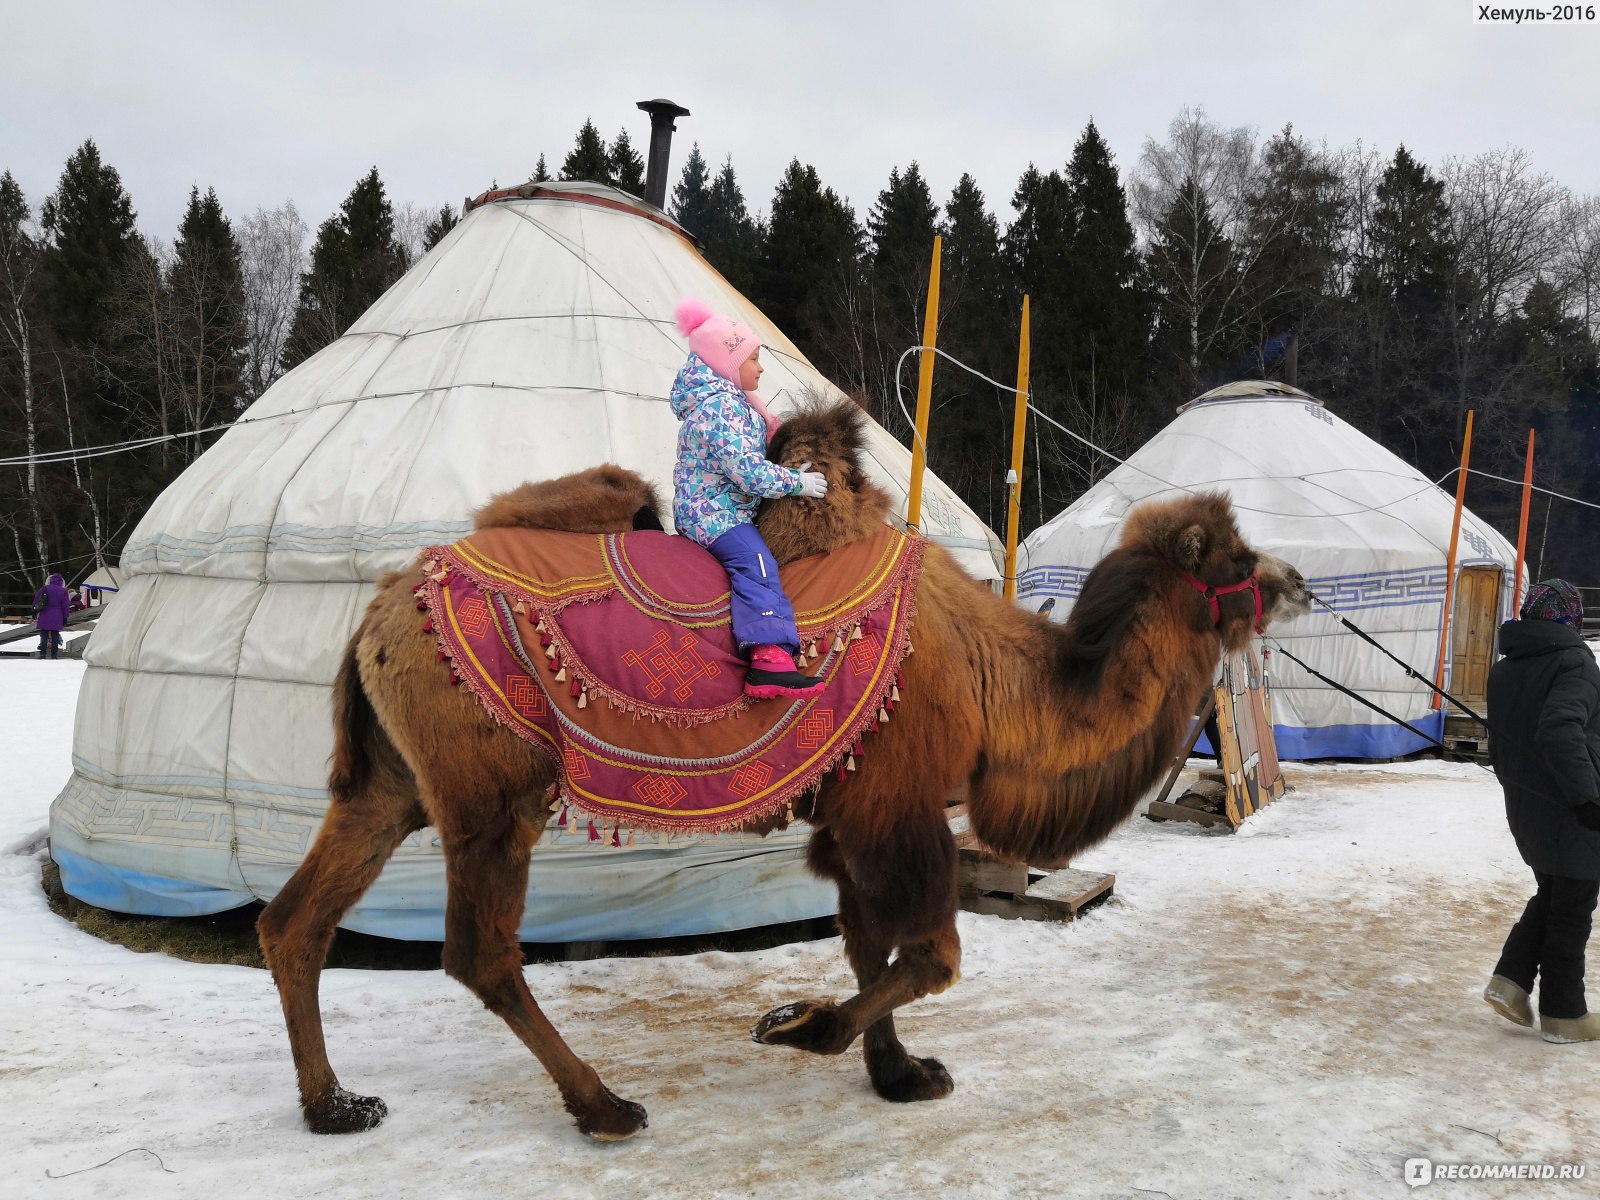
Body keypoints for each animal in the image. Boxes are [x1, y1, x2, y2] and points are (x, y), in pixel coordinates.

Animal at [259, 404, 1312, 1145]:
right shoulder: (899, 805)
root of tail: (382, 607)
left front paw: (898, 1075)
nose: (1298, 583)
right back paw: (603, 1106)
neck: (995, 681)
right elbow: (931, 956)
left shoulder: (854, 810)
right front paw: (803, 1028)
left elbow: (870, 946)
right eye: (1237, 555)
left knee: (296, 920)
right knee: (480, 952)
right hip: (492, 794)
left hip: (389, 786)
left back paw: (334, 1105)